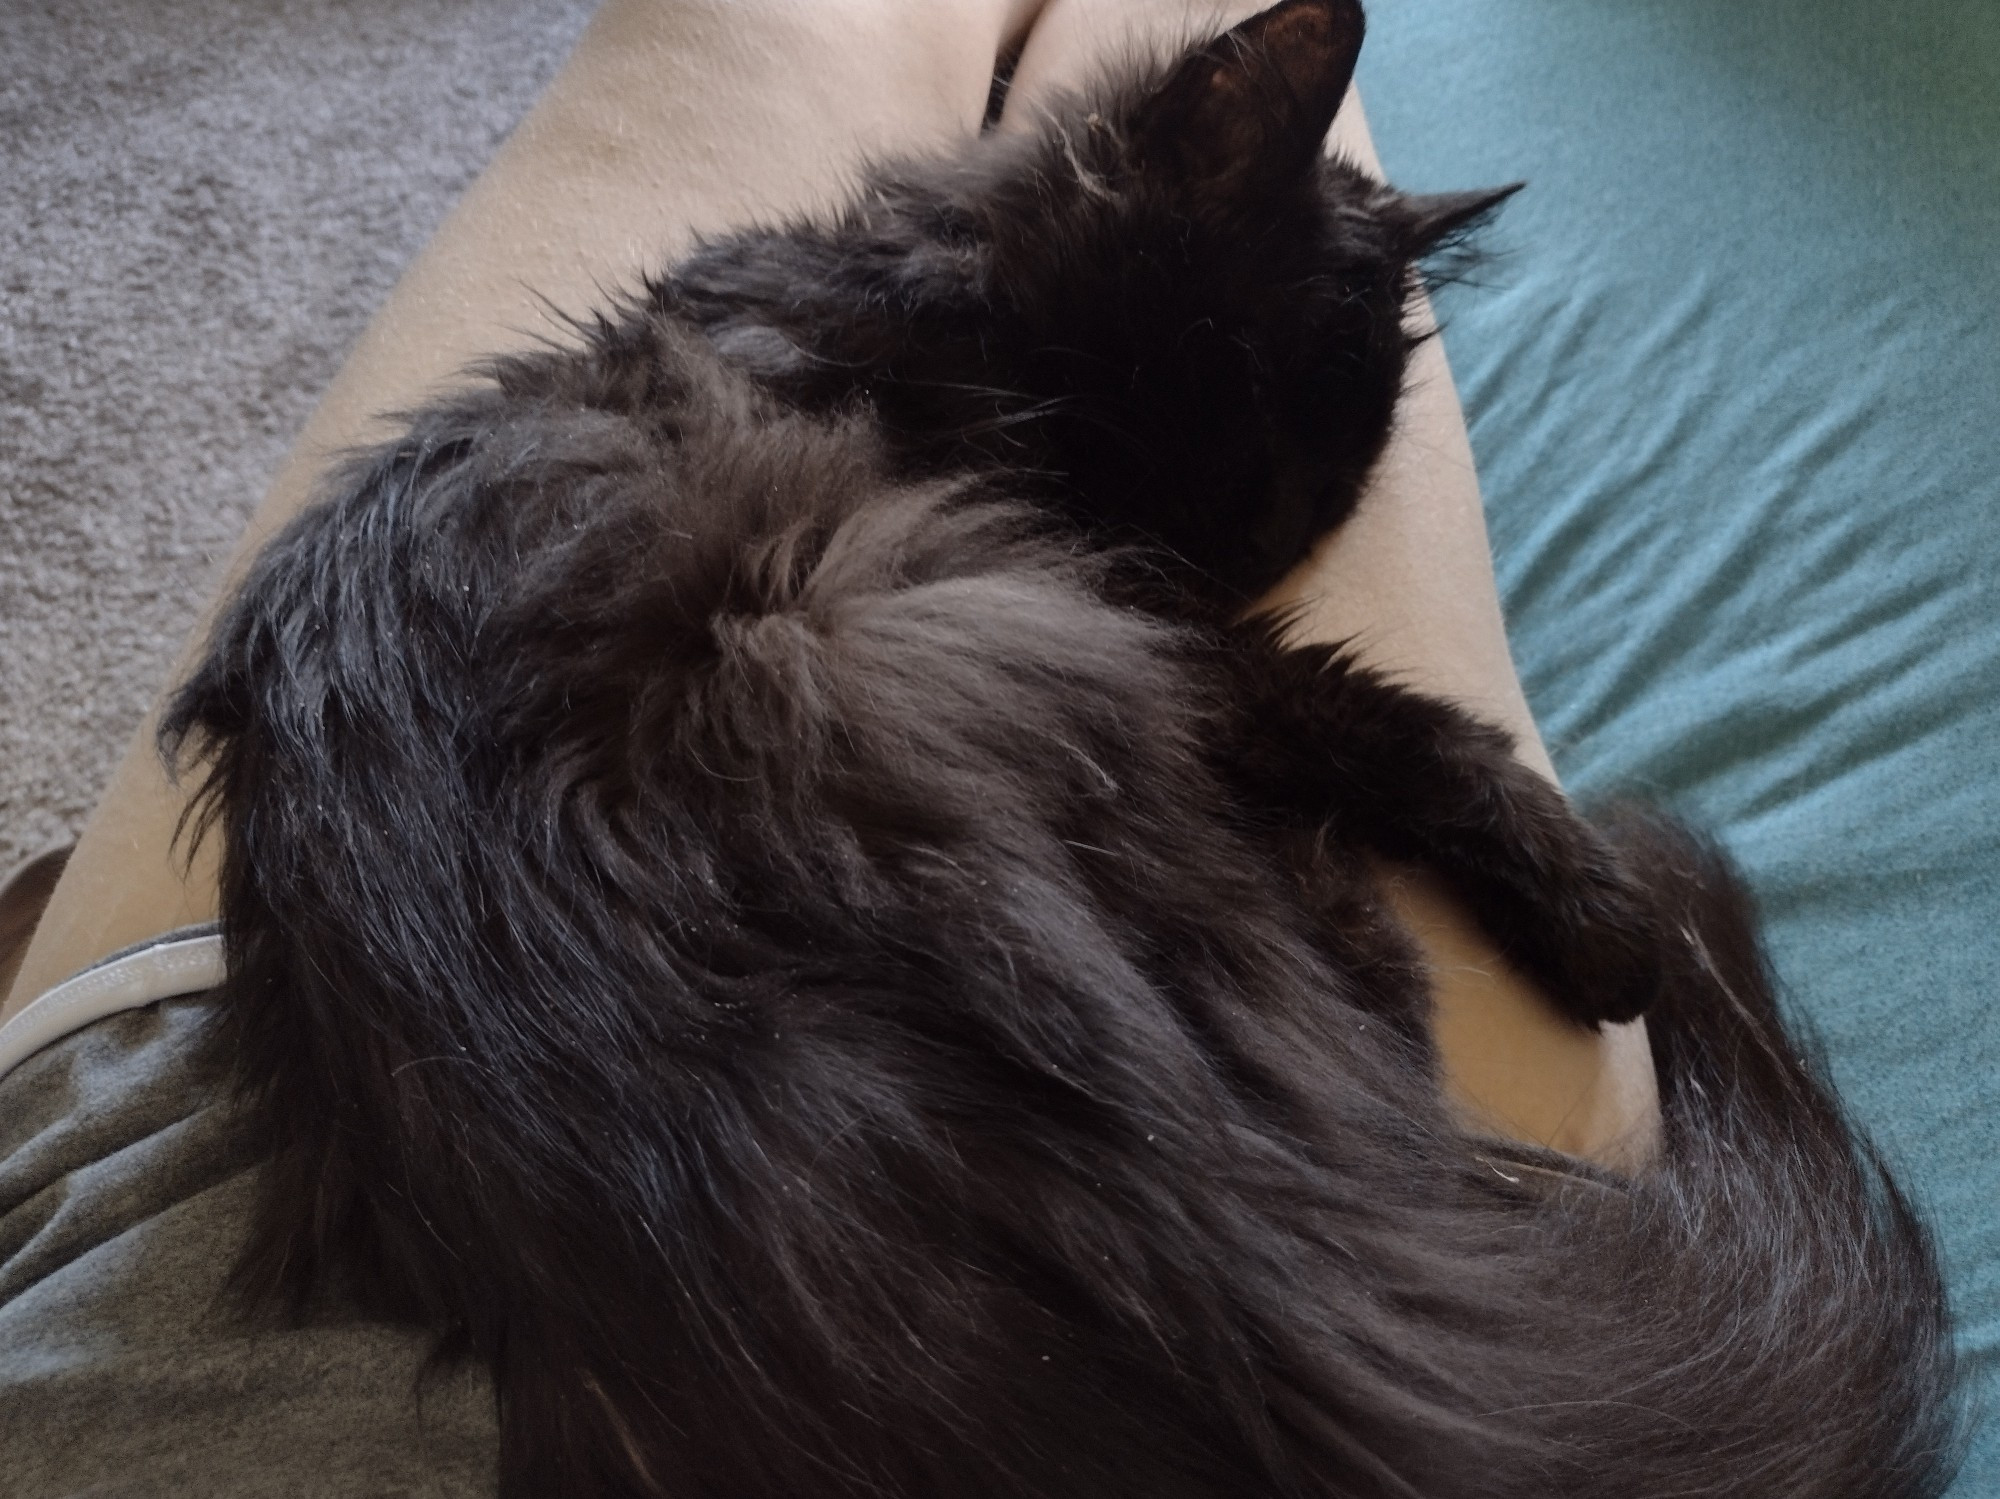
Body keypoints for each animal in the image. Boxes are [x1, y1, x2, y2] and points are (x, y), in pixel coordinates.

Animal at [164, 2, 1960, 1499]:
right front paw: (1595, 911)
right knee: (1377, 1033)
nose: (1252, 540)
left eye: (1336, 477)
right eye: (1226, 376)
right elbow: (1386, 713)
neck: (907, 298)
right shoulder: (1134, 601)